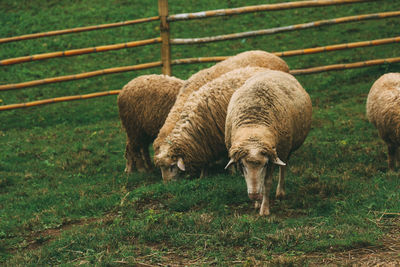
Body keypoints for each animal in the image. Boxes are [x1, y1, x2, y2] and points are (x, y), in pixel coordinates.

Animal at [225, 70, 312, 217]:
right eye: (242, 165)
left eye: (265, 164)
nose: (254, 196)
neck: (254, 125)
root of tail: (274, 70)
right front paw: (257, 203)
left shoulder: (273, 157)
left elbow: (267, 184)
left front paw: (264, 209)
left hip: (285, 149)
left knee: (283, 168)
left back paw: (280, 193)